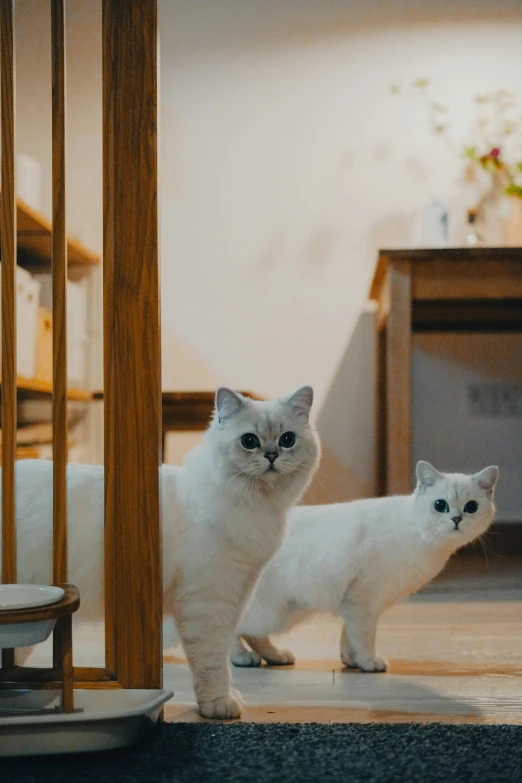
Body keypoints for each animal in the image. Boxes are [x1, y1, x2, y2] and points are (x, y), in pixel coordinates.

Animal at [2, 386, 318, 716]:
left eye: (287, 440)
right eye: (249, 441)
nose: (271, 456)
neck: (256, 507)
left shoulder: (238, 591)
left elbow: (227, 648)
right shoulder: (209, 602)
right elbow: (213, 662)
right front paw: (219, 704)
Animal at [231, 460, 496, 672]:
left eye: (471, 507)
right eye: (440, 505)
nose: (456, 519)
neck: (419, 537)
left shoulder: (359, 604)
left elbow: (348, 637)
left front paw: (352, 662)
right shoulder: (363, 602)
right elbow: (364, 636)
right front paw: (369, 662)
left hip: (282, 613)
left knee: (253, 634)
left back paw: (276, 656)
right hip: (270, 611)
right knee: (233, 631)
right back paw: (242, 658)